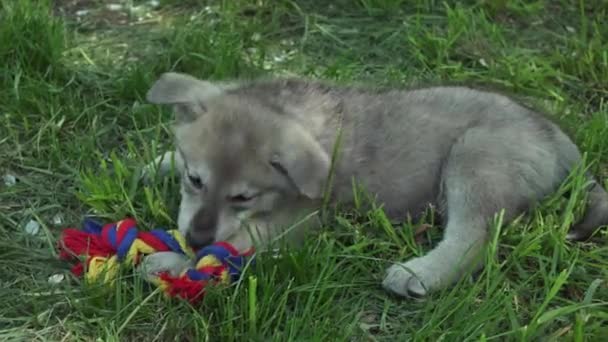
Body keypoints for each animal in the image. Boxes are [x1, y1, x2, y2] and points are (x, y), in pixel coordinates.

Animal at [141, 72, 608, 296]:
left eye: (243, 196)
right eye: (194, 179)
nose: (195, 238)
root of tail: (560, 140)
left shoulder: (295, 222)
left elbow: (235, 245)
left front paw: (173, 261)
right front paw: (153, 164)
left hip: (474, 157)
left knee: (474, 239)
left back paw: (420, 273)